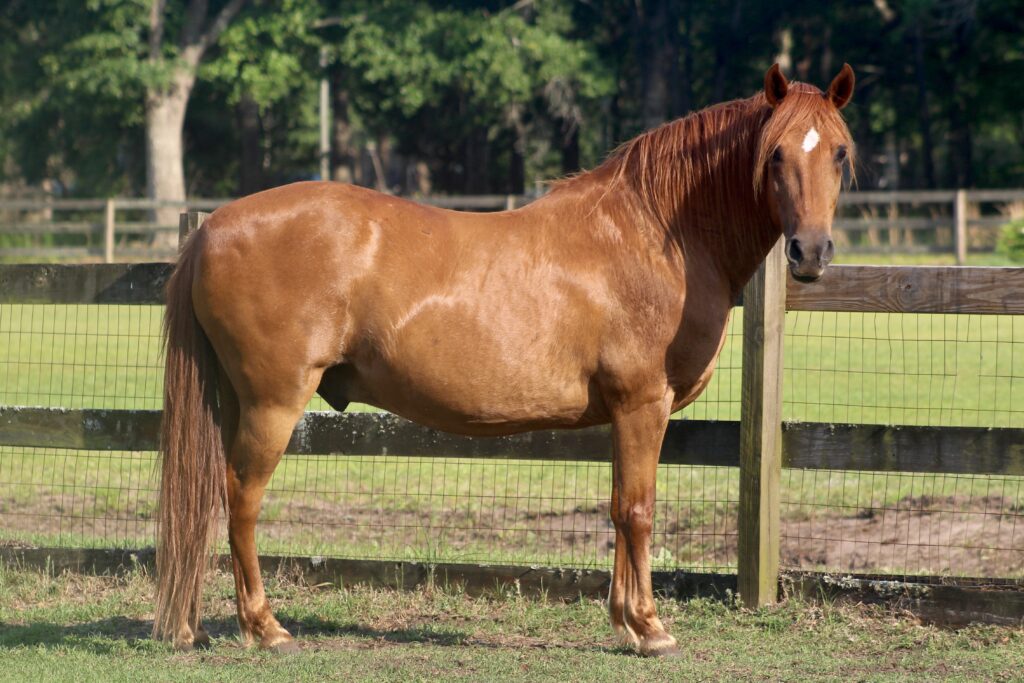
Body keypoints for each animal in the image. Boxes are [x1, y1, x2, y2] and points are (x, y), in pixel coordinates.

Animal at [152, 63, 855, 657]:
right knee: (241, 498)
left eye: (840, 152)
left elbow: (617, 509)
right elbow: (638, 511)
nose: (810, 252)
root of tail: (211, 228)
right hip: (272, 403)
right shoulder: (641, 405)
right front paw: (651, 629)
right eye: (775, 153)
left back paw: (193, 625)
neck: (656, 235)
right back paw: (265, 628)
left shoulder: (622, 414)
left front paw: (624, 623)